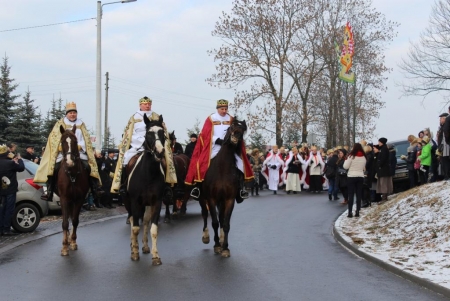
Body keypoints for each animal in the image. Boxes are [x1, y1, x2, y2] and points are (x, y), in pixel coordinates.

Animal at [56, 124, 90, 255]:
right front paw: (65, 247)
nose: (69, 162)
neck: (72, 174)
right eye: (62, 141)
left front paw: (73, 242)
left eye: (75, 141)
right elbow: (65, 223)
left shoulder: (79, 199)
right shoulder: (64, 198)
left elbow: (75, 220)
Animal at [125, 113, 167, 264]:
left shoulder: (156, 202)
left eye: (162, 133)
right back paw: (133, 246)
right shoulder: (134, 201)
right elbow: (135, 228)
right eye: (148, 133)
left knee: (146, 221)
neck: (148, 174)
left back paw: (145, 246)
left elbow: (153, 228)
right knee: (133, 221)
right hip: (129, 203)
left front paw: (155, 255)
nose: (160, 152)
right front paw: (135, 252)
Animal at [200, 116, 248, 255]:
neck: (222, 169)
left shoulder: (229, 199)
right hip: (202, 198)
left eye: (243, 129)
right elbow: (215, 222)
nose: (236, 135)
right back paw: (206, 236)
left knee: (221, 218)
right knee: (204, 214)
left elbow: (225, 223)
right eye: (232, 126)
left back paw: (221, 241)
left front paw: (225, 247)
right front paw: (216, 245)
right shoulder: (211, 198)